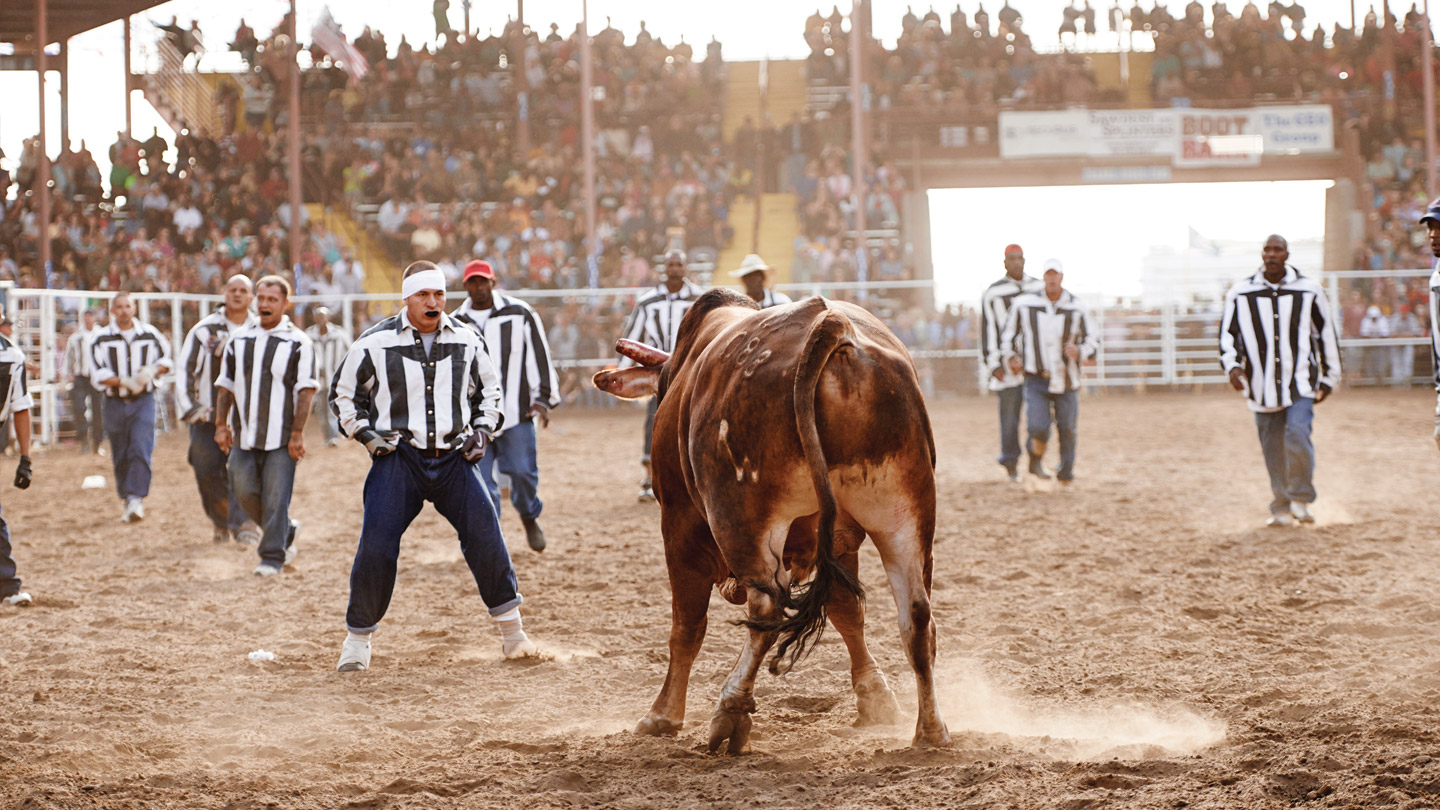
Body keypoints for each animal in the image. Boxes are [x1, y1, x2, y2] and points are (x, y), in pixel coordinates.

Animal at [590, 289, 950, 749]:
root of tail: (831, 325)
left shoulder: (679, 524)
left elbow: (687, 627)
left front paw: (663, 714)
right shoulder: (837, 541)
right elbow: (846, 609)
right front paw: (876, 700)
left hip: (743, 520)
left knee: (765, 612)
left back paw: (730, 709)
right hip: (903, 514)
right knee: (917, 616)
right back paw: (930, 729)